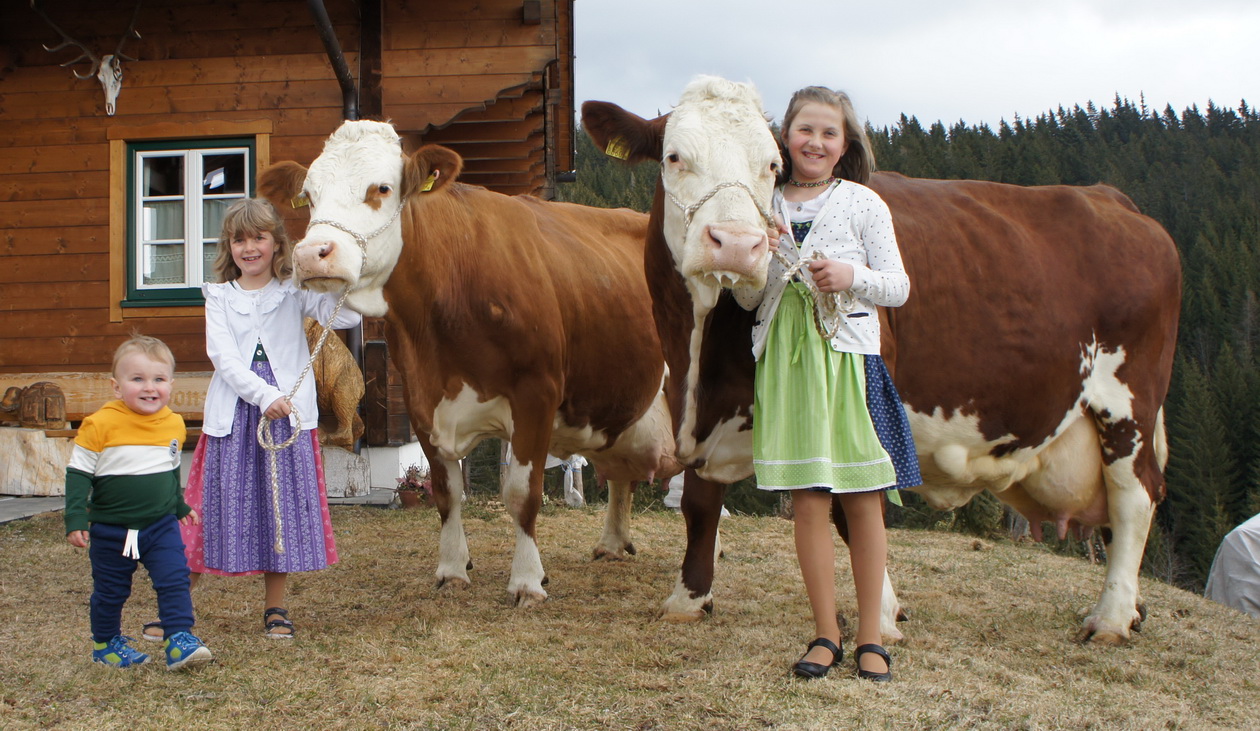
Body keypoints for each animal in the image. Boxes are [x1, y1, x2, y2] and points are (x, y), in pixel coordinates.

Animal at [254, 121, 680, 604]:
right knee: (621, 476)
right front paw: (453, 569)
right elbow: (446, 492)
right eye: (307, 195)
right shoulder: (421, 397)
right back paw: (611, 544)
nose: (312, 254)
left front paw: (527, 580)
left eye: (381, 187)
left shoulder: (537, 394)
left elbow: (522, 494)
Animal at [584, 77, 1184, 642]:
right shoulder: (705, 415)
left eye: (772, 166)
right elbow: (700, 503)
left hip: (1126, 405)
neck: (698, 356)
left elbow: (852, 507)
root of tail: (1113, 200)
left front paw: (884, 614)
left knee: (1135, 498)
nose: (736, 244)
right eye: (674, 156)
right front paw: (688, 599)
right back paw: (1133, 611)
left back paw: (1110, 618)